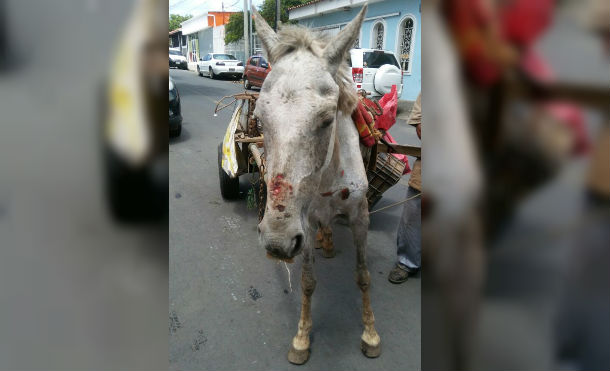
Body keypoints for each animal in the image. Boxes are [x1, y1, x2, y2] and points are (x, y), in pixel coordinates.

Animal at [249, 5, 378, 366]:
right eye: (259, 120)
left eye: (327, 119)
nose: (277, 243)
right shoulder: (301, 223)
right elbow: (307, 281)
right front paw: (302, 338)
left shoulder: (361, 216)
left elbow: (363, 276)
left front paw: (370, 333)